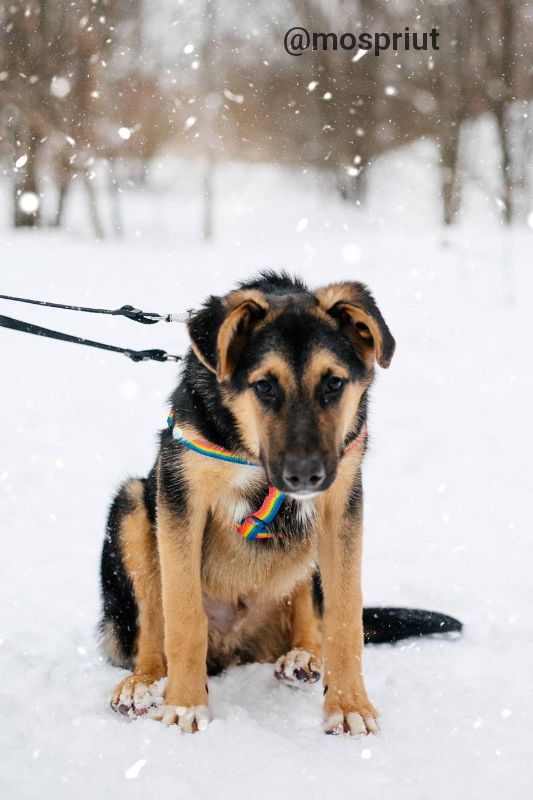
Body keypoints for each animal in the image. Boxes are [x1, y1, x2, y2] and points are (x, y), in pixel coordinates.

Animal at [100, 272, 462, 736]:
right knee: (150, 624)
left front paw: (350, 706)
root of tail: (235, 645)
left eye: (334, 383)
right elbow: (181, 614)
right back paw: (143, 683)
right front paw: (183, 705)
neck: (251, 451)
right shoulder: (181, 495)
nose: (305, 475)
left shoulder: (342, 504)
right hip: (131, 505)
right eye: (265, 386)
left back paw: (303, 654)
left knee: (310, 608)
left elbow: (345, 617)